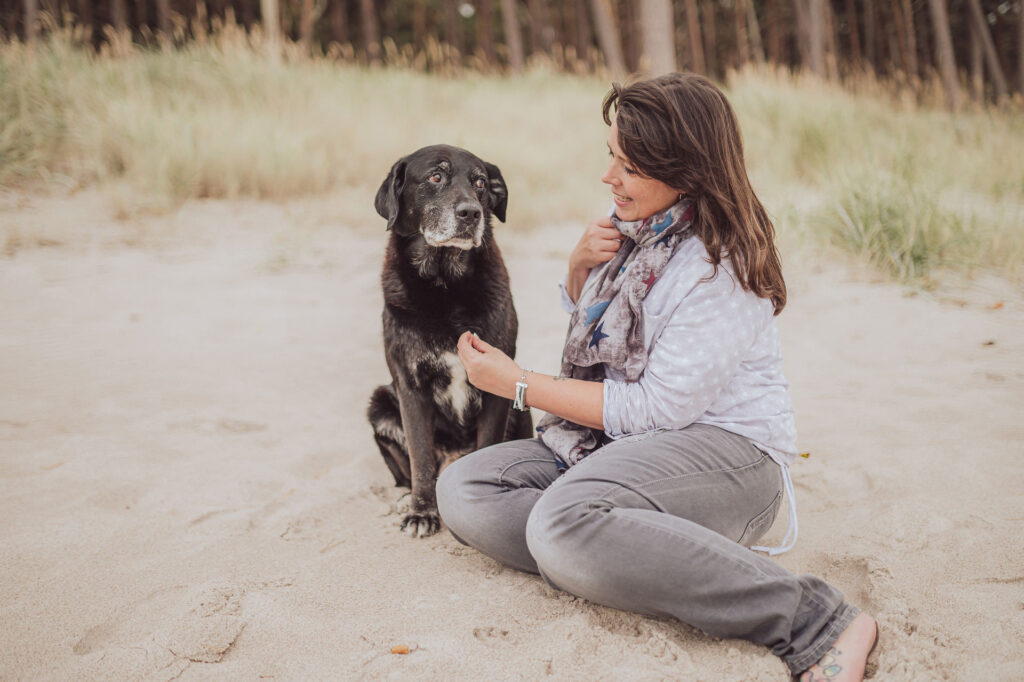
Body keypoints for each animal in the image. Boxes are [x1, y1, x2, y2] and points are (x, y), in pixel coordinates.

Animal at [368, 144, 532, 536]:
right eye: (435, 176)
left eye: (481, 183)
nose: (471, 213)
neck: (445, 283)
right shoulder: (410, 387)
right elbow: (421, 458)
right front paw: (422, 512)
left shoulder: (497, 386)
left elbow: (486, 446)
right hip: (379, 403)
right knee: (410, 473)